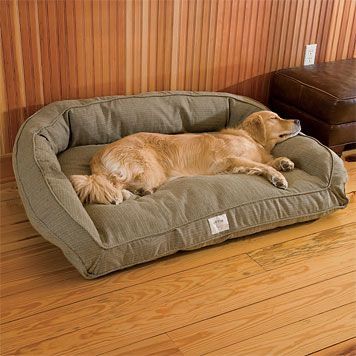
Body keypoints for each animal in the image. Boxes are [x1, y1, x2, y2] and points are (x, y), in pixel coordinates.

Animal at [70, 110, 300, 204]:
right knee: (112, 183)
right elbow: (264, 166)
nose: (298, 120)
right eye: (275, 118)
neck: (250, 138)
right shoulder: (230, 160)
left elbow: (266, 162)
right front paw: (279, 177)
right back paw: (120, 196)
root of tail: (98, 155)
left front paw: (284, 163)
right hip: (148, 170)